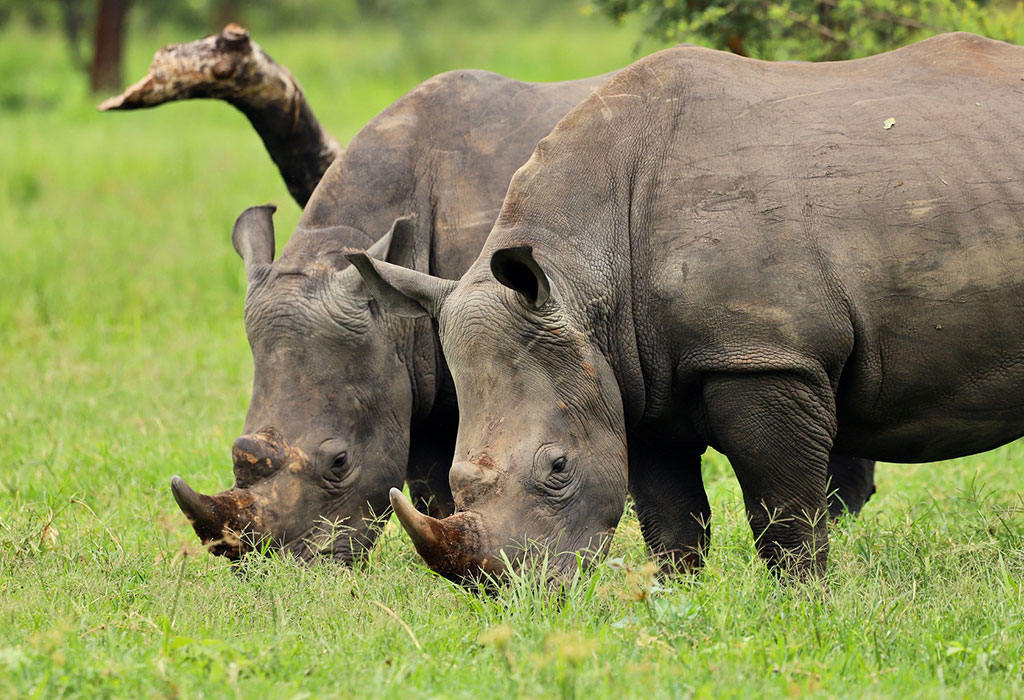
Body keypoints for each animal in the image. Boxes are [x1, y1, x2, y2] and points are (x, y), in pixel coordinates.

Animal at [348, 32, 1019, 581]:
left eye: (558, 467)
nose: (514, 594)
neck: (580, 277)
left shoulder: (763, 355)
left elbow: (784, 510)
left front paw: (803, 605)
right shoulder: (631, 375)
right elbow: (671, 518)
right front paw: (675, 602)